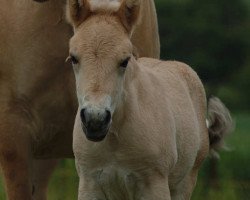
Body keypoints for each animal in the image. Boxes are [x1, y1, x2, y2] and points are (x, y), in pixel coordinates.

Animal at [66, 0, 232, 199]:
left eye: (125, 61)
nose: (95, 120)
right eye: (74, 58)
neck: (114, 138)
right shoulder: (89, 184)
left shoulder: (155, 185)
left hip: (185, 183)